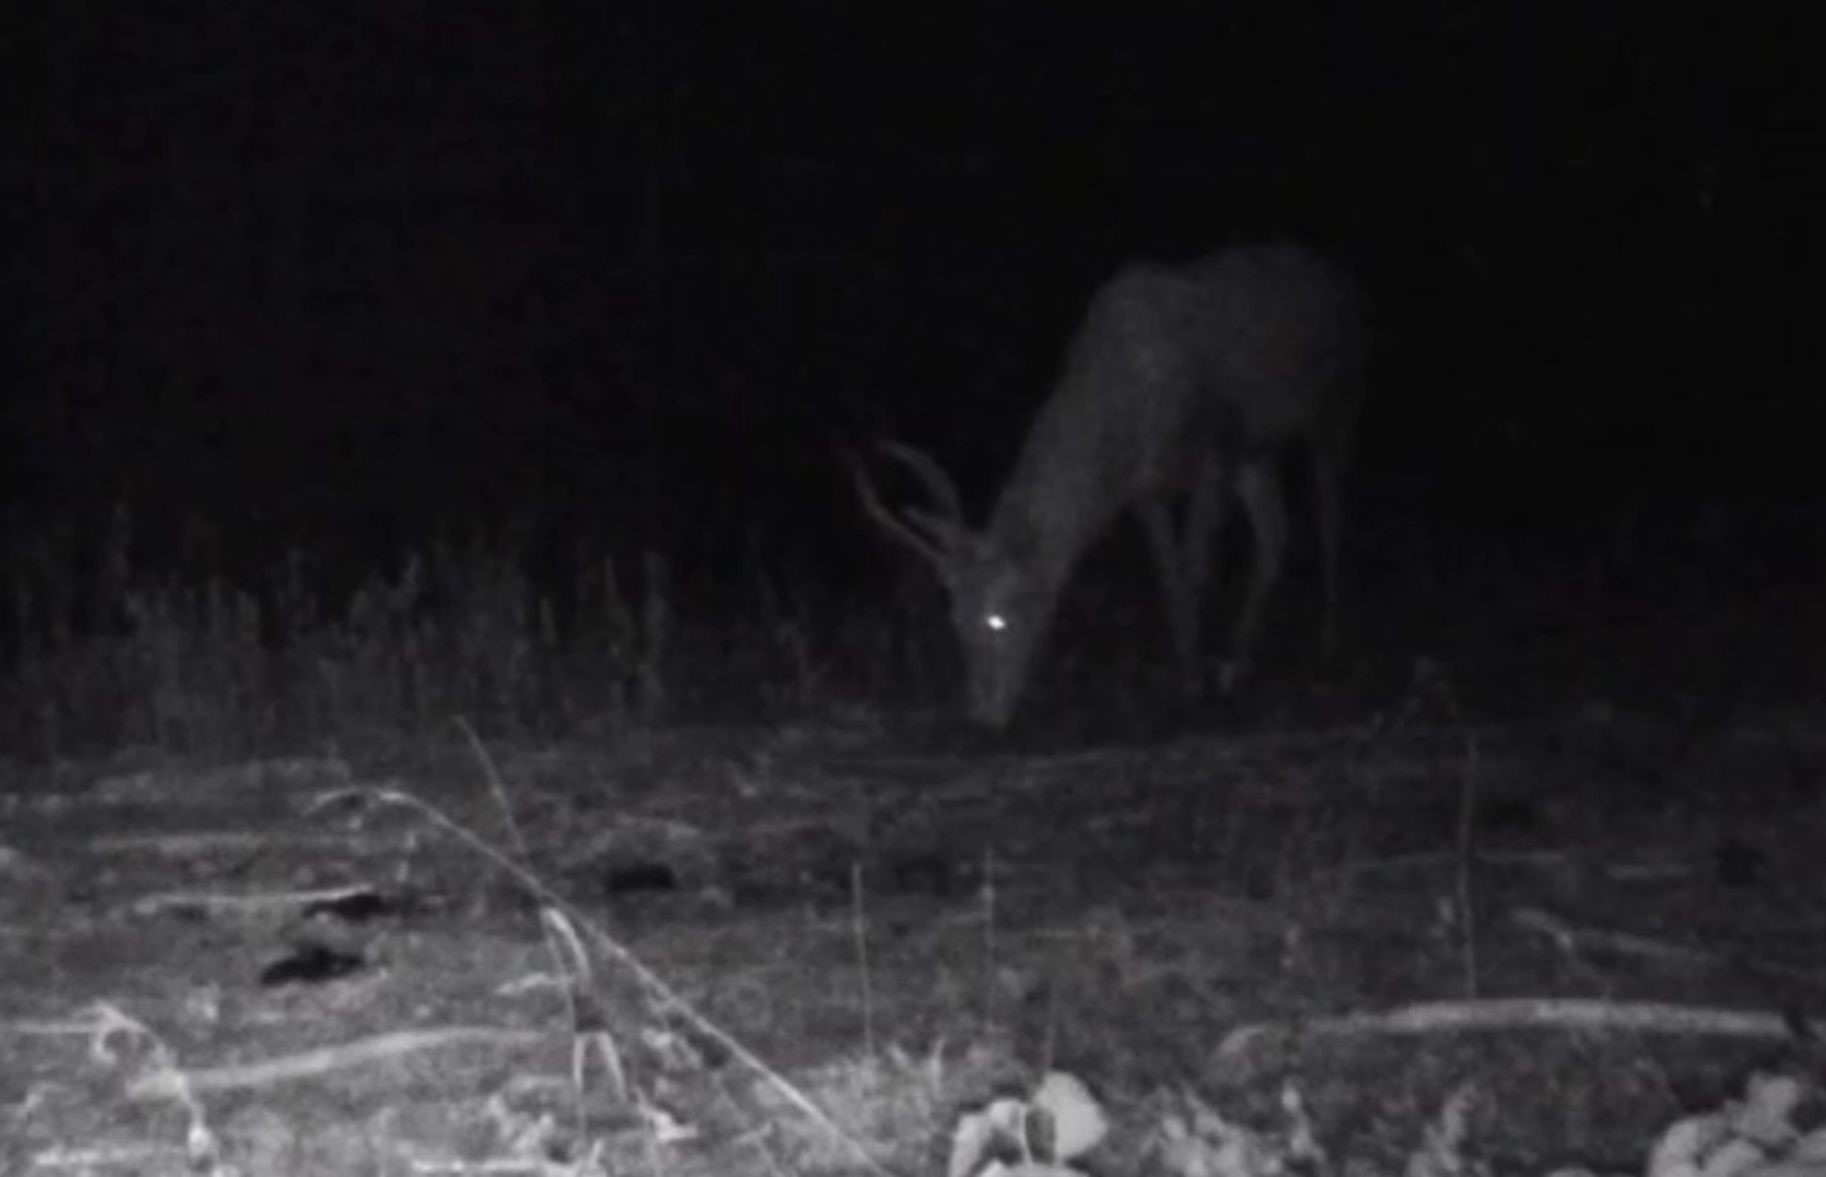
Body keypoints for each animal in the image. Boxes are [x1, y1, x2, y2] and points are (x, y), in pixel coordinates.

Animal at [847, 240, 1365, 726]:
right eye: (955, 618)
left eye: (999, 619)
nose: (981, 713)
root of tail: (1338, 281)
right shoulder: (1149, 487)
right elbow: (1169, 576)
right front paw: (1189, 675)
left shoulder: (1213, 455)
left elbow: (1195, 569)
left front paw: (1193, 686)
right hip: (1258, 452)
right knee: (1276, 531)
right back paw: (1236, 662)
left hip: (1332, 403)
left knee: (1329, 517)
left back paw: (1328, 644)